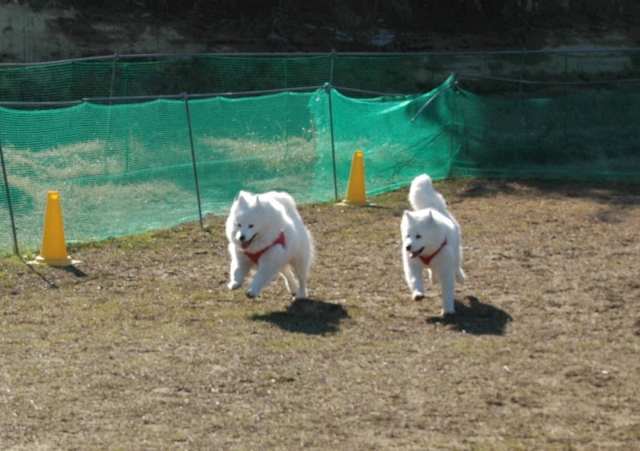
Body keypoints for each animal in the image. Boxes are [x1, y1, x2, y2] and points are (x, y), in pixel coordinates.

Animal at [400, 175, 464, 316]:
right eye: (408, 236)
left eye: (418, 236)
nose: (407, 247)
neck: (427, 251)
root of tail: (433, 208)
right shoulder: (413, 266)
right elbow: (415, 280)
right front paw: (418, 294)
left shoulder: (446, 269)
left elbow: (448, 290)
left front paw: (448, 309)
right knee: (432, 270)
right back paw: (433, 278)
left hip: (456, 253)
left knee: (457, 266)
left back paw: (460, 277)